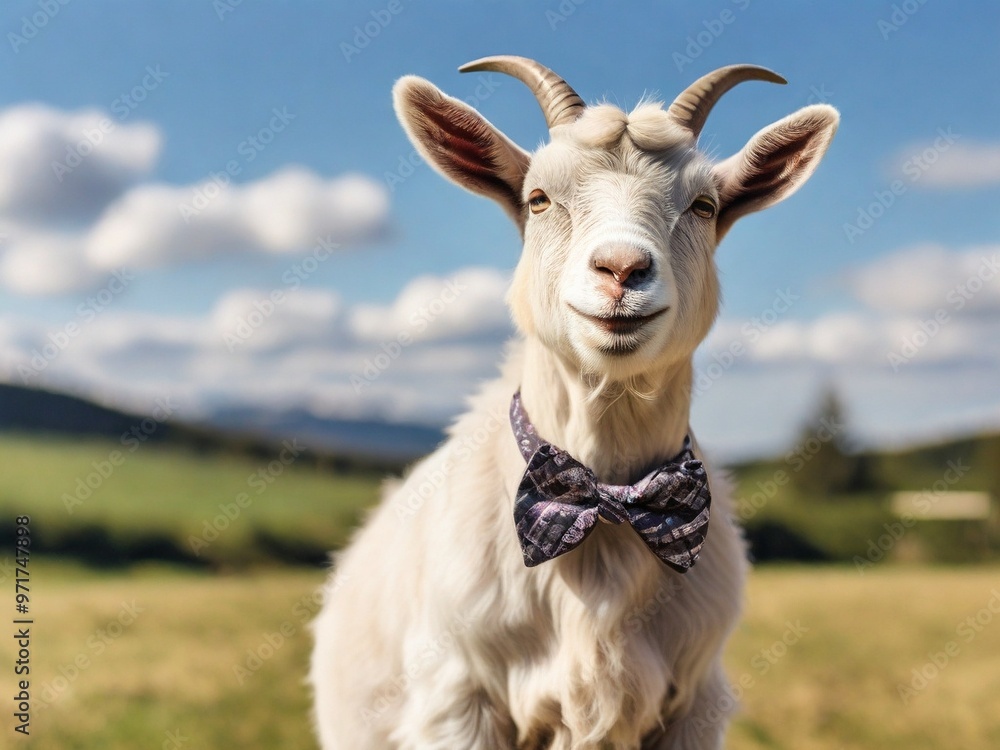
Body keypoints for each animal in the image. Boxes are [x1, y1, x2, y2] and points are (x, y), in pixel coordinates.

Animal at [310, 56, 838, 749]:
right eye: (537, 198)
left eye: (704, 204)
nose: (621, 269)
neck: (607, 506)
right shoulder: (456, 700)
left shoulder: (693, 706)